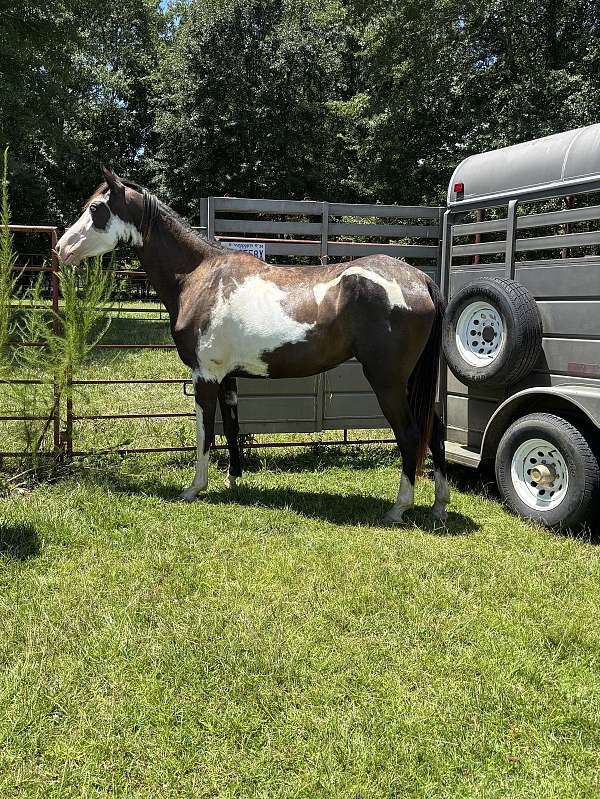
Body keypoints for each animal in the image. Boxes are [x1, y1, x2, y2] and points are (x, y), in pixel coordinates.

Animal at [55, 167, 449, 523]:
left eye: (96, 208)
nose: (60, 248)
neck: (200, 276)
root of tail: (420, 280)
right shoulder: (227, 377)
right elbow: (231, 428)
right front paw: (234, 480)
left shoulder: (204, 376)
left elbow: (204, 432)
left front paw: (194, 488)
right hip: (410, 381)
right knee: (436, 428)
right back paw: (439, 505)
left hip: (388, 382)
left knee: (410, 433)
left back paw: (399, 509)